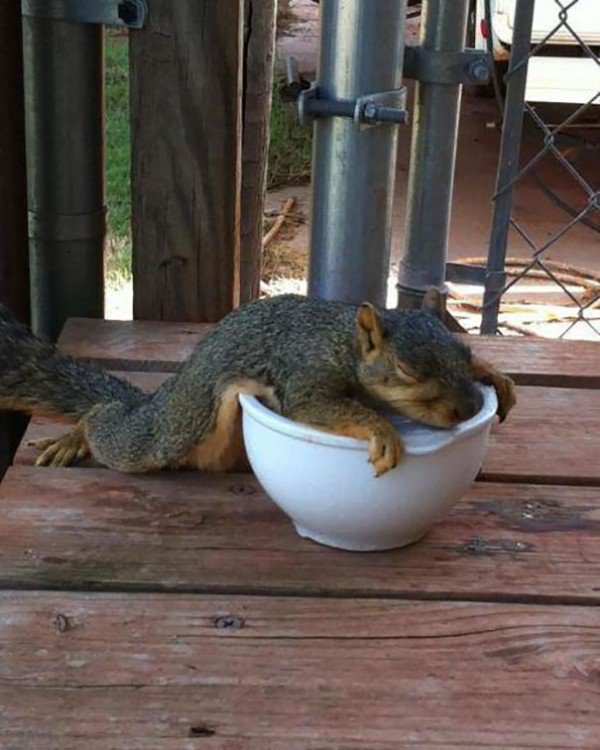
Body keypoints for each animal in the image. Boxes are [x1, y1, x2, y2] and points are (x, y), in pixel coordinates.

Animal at [0, 291, 516, 477]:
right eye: (408, 370)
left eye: (462, 353)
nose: (469, 409)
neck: (342, 343)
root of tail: (159, 398)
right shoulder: (303, 376)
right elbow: (325, 406)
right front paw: (383, 430)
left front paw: (495, 374)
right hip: (164, 433)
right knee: (107, 423)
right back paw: (78, 435)